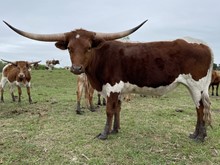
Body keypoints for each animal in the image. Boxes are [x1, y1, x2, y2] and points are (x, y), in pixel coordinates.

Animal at [3, 20, 213, 142]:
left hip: (196, 86)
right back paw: (197, 134)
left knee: (200, 108)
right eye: (70, 48)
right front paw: (115, 130)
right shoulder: (116, 90)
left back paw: (200, 136)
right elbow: (117, 109)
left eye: (88, 47)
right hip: (197, 88)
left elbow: (109, 111)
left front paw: (104, 133)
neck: (101, 57)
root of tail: (204, 45)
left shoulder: (112, 87)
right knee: (199, 109)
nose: (77, 69)